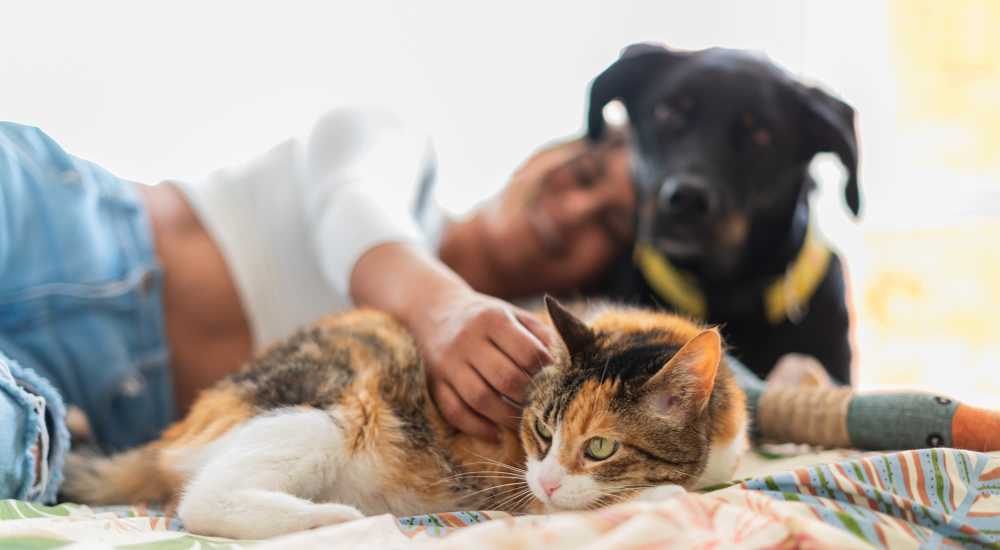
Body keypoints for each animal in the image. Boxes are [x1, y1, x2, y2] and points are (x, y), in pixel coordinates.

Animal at [62, 300, 748, 540]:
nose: (550, 477)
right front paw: (663, 494)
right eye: (542, 432)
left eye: (601, 446)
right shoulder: (522, 488)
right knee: (201, 500)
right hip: (332, 410)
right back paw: (332, 518)